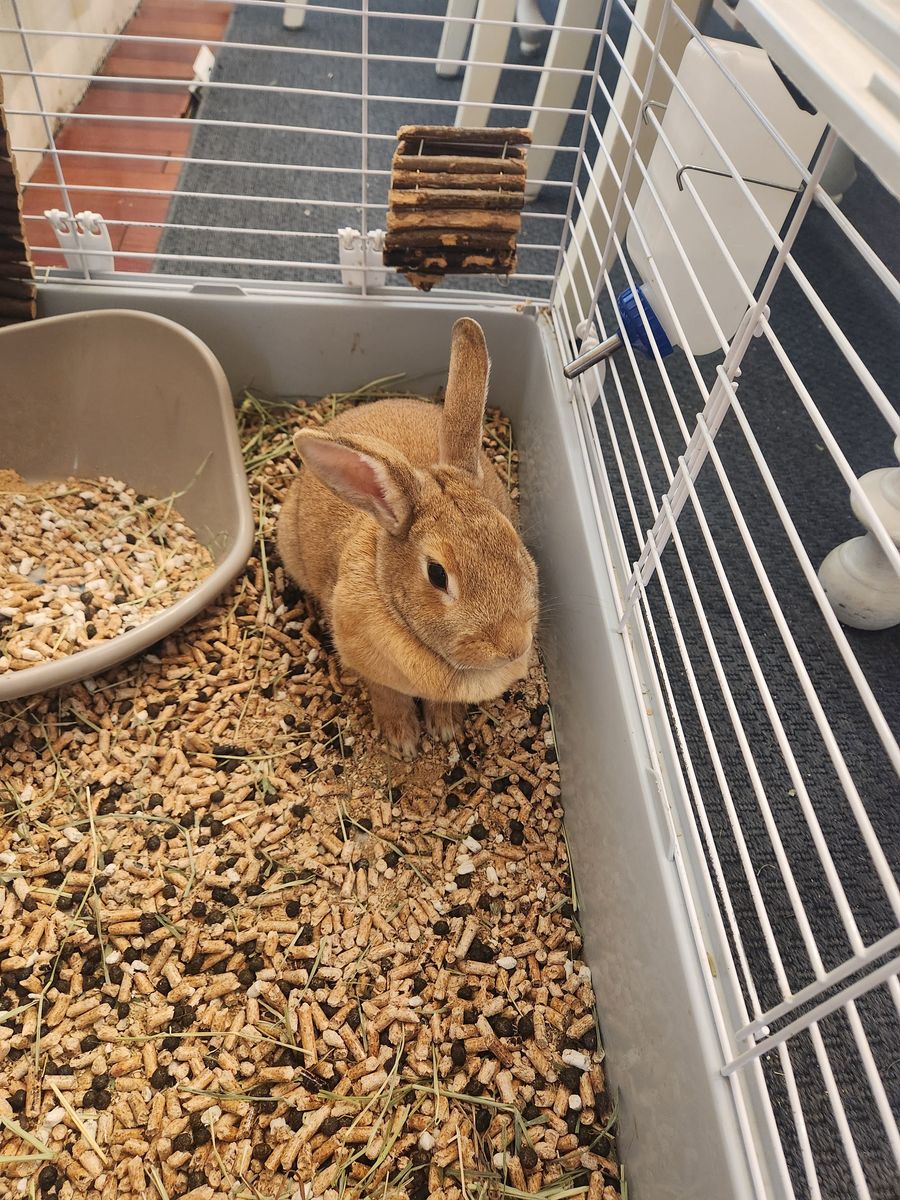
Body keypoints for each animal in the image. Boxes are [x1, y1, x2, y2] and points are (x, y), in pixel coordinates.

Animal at [277, 317, 538, 758]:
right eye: (437, 575)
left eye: (513, 542)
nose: (513, 646)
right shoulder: (369, 664)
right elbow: (388, 696)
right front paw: (403, 742)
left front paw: (446, 729)